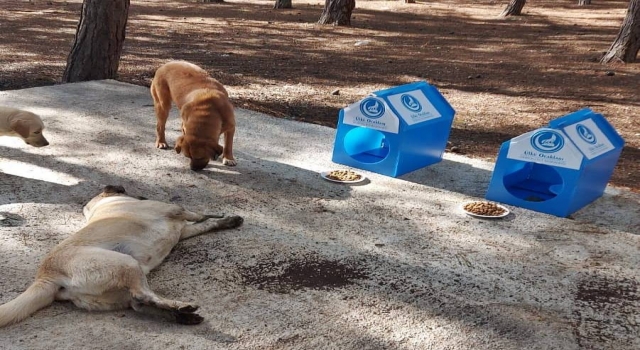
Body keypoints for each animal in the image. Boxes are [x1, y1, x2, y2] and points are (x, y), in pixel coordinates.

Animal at [0, 185, 244, 326]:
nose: (141, 194)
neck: (100, 204)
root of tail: (45, 275)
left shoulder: (183, 230)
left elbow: (206, 224)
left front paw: (228, 221)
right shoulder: (174, 209)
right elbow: (199, 214)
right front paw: (220, 215)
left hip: (117, 291)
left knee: (140, 303)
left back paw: (179, 313)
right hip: (126, 264)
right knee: (142, 295)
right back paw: (181, 308)